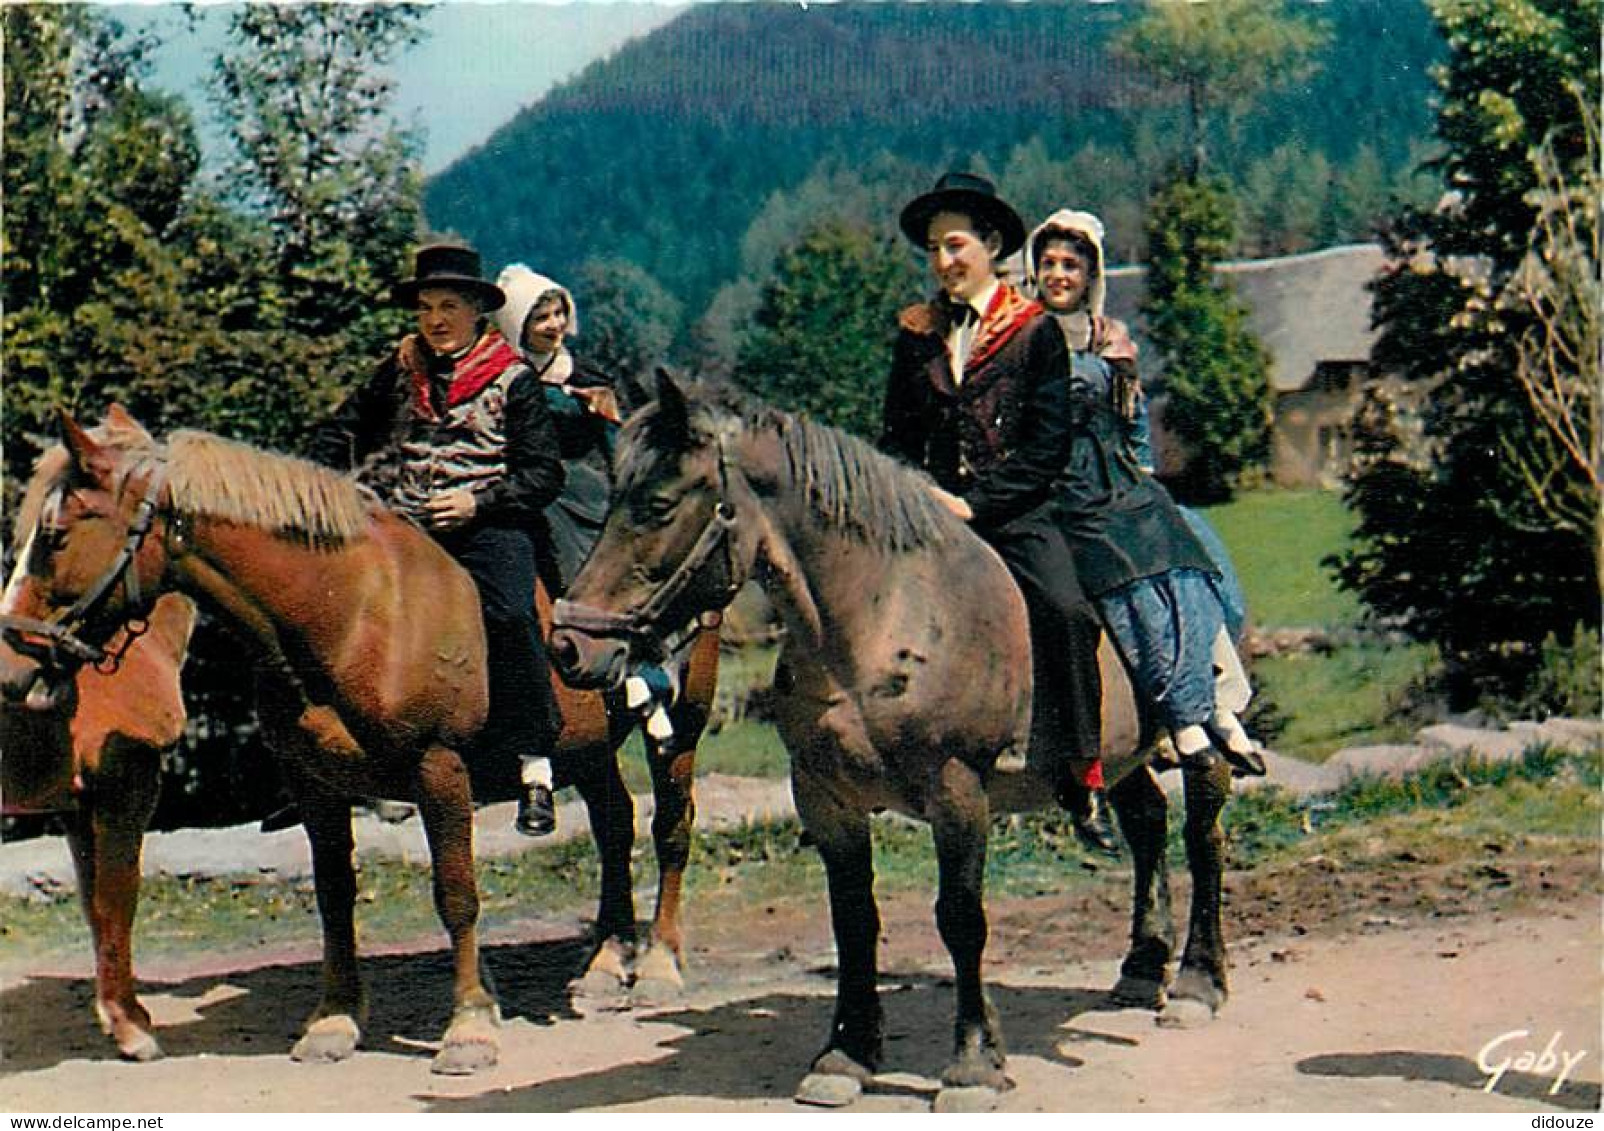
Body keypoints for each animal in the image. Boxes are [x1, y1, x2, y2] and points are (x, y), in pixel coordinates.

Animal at [0, 405, 715, 1065]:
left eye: (54, 535)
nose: (12, 663)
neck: (355, 616)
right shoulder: (316, 785)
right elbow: (335, 896)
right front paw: (335, 1018)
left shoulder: (440, 770)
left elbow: (457, 894)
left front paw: (470, 1025)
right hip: (589, 748)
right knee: (614, 824)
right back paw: (605, 963)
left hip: (682, 727)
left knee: (669, 829)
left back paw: (659, 963)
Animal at [551, 375, 1238, 1110]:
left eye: (656, 505)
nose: (569, 645)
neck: (881, 621)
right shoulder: (824, 798)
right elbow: (853, 920)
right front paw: (847, 1055)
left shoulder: (957, 793)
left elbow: (961, 918)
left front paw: (973, 1065)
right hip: (1121, 753)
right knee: (1148, 821)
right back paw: (1141, 966)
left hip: (1200, 727)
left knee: (1203, 833)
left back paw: (1197, 983)